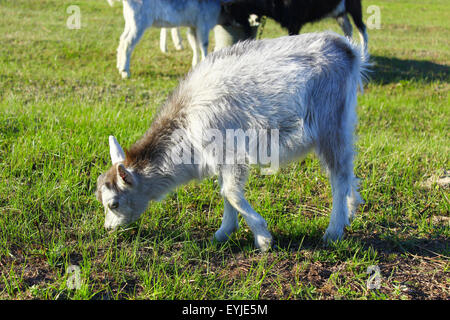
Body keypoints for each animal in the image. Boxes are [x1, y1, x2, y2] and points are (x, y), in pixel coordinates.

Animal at [96, 32, 368, 252]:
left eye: (114, 203)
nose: (108, 229)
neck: (186, 122)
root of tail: (347, 49)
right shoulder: (219, 158)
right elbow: (224, 190)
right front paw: (224, 232)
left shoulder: (229, 151)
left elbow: (230, 191)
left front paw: (263, 239)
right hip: (343, 122)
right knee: (346, 168)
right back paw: (352, 208)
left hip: (329, 122)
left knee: (338, 175)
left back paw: (333, 231)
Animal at [221, 0, 370, 51]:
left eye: (232, 11)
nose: (226, 23)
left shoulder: (295, 22)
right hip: (339, 12)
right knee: (348, 27)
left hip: (354, 6)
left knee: (361, 28)